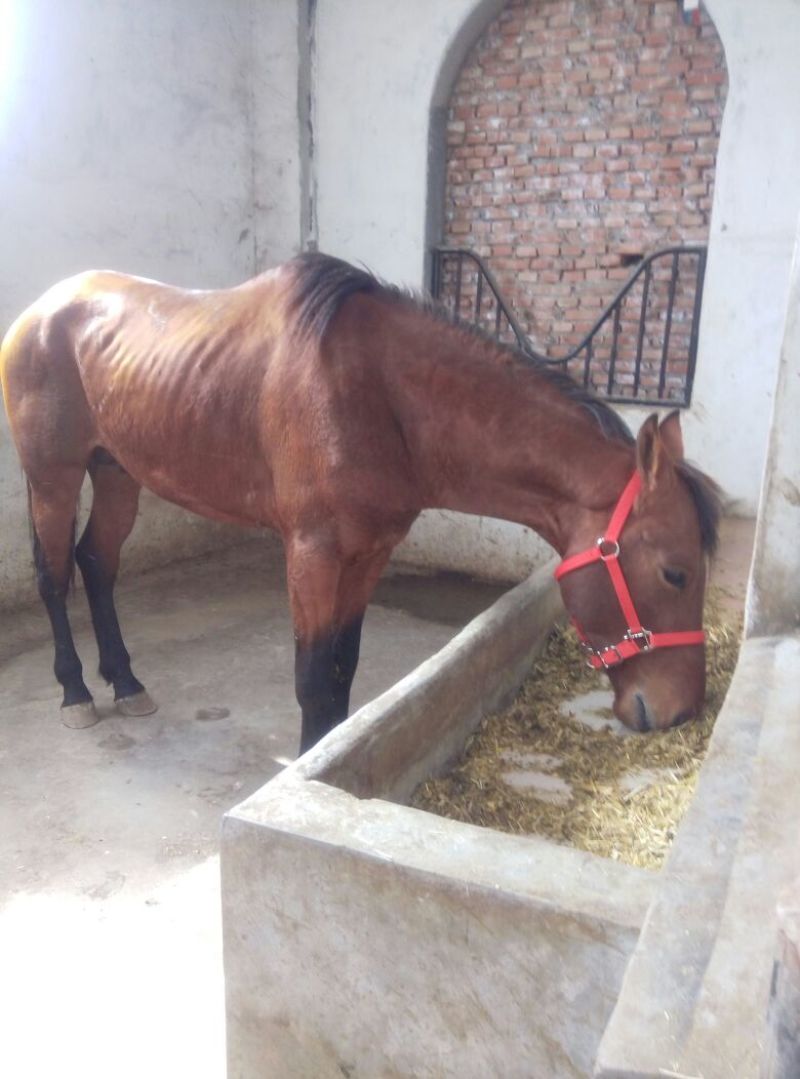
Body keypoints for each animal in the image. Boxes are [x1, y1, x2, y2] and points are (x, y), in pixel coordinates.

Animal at [0, 252, 721, 752]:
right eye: (675, 573)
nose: (682, 709)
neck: (374, 395)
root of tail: (40, 310)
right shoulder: (312, 554)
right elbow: (313, 676)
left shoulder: (370, 552)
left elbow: (342, 670)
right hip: (54, 476)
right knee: (55, 574)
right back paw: (76, 691)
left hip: (118, 471)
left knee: (97, 564)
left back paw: (126, 682)